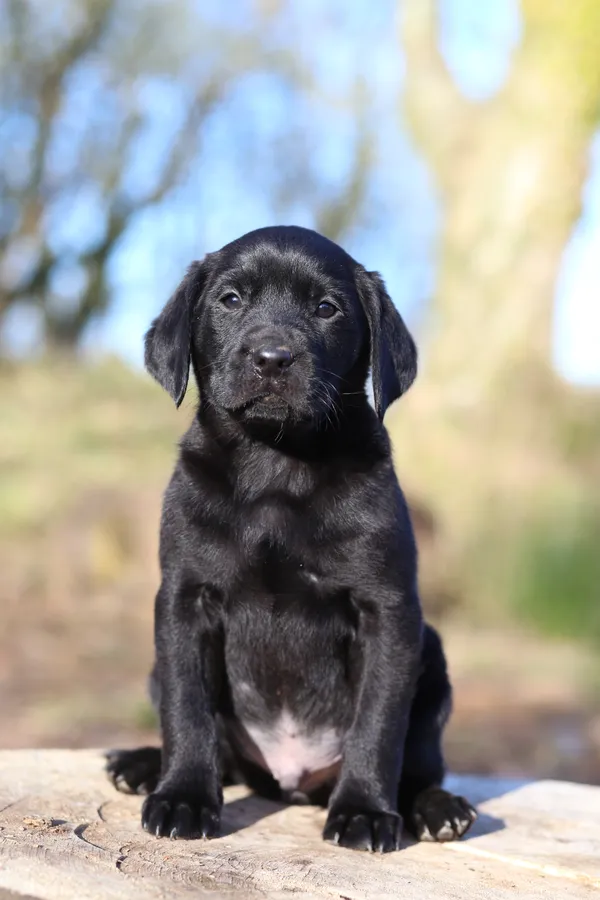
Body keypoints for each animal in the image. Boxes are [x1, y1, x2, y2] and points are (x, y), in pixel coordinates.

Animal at [106, 225, 476, 852]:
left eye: (326, 309)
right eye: (231, 299)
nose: (273, 358)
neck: (276, 464)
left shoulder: (388, 612)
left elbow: (379, 724)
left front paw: (363, 811)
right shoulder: (184, 599)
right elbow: (187, 708)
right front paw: (183, 798)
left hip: (433, 660)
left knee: (419, 765)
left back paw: (437, 808)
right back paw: (140, 765)